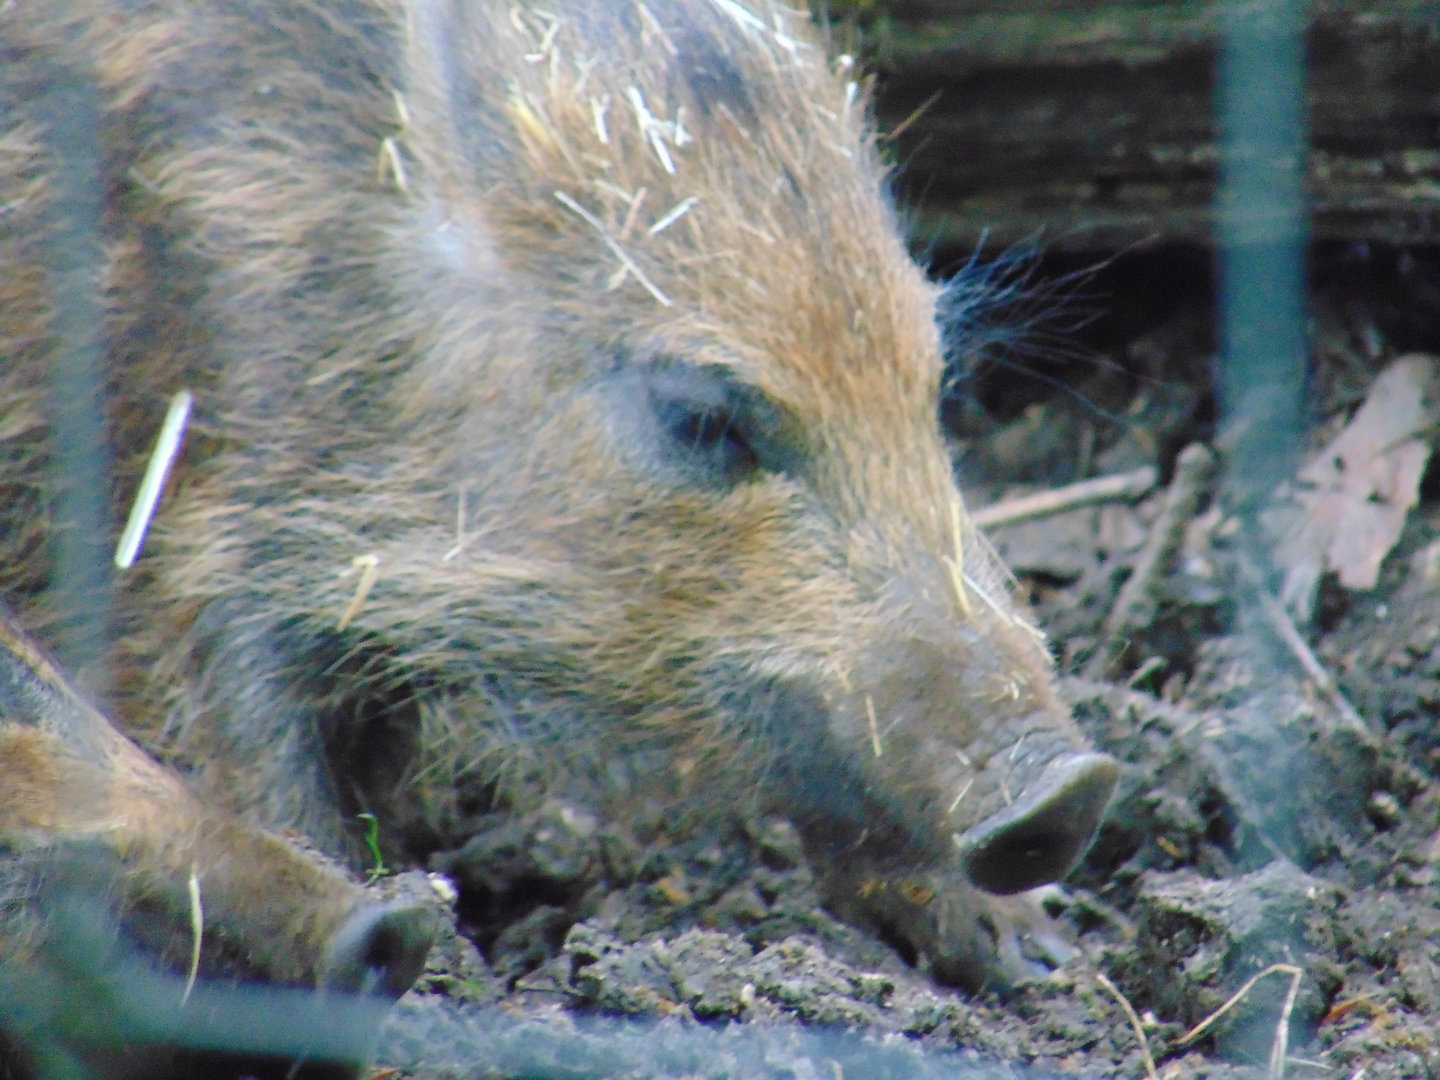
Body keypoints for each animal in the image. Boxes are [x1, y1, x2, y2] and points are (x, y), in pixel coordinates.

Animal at [0, 0, 1118, 993]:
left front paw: (1038, 957)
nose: (1074, 787)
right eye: (696, 416)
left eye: (932, 378)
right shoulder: (173, 540)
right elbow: (249, 761)